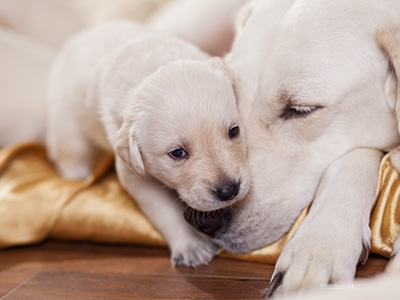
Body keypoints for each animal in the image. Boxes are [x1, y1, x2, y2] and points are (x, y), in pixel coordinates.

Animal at [47, 19, 250, 266]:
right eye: (177, 153)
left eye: (234, 131)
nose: (228, 191)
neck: (153, 66)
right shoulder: (134, 174)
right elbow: (165, 212)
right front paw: (191, 246)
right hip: (67, 121)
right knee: (70, 152)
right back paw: (77, 175)